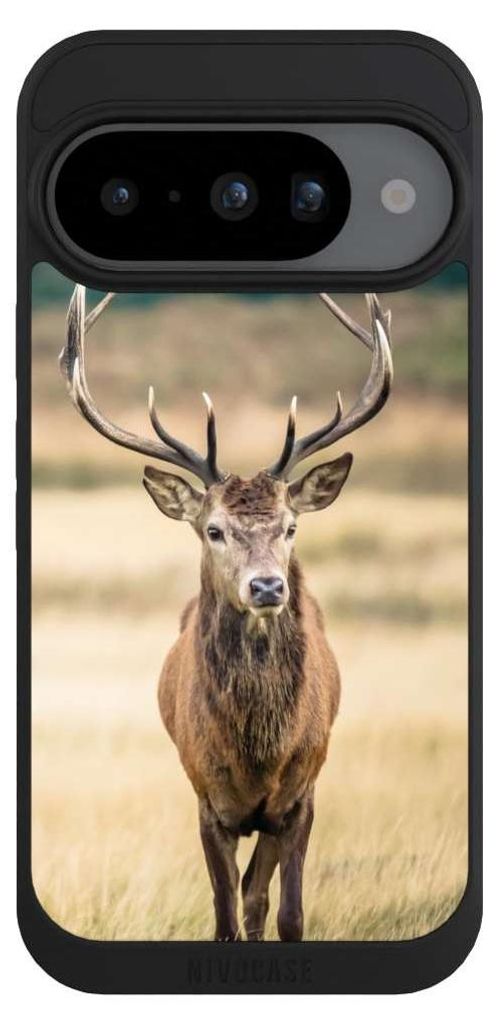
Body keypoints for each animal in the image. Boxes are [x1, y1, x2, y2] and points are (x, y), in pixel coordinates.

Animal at [60, 286, 392, 942]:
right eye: (213, 529)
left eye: (290, 527)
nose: (267, 586)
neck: (259, 755)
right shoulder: (206, 799)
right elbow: (224, 915)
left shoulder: (301, 795)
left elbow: (285, 913)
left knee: (257, 896)